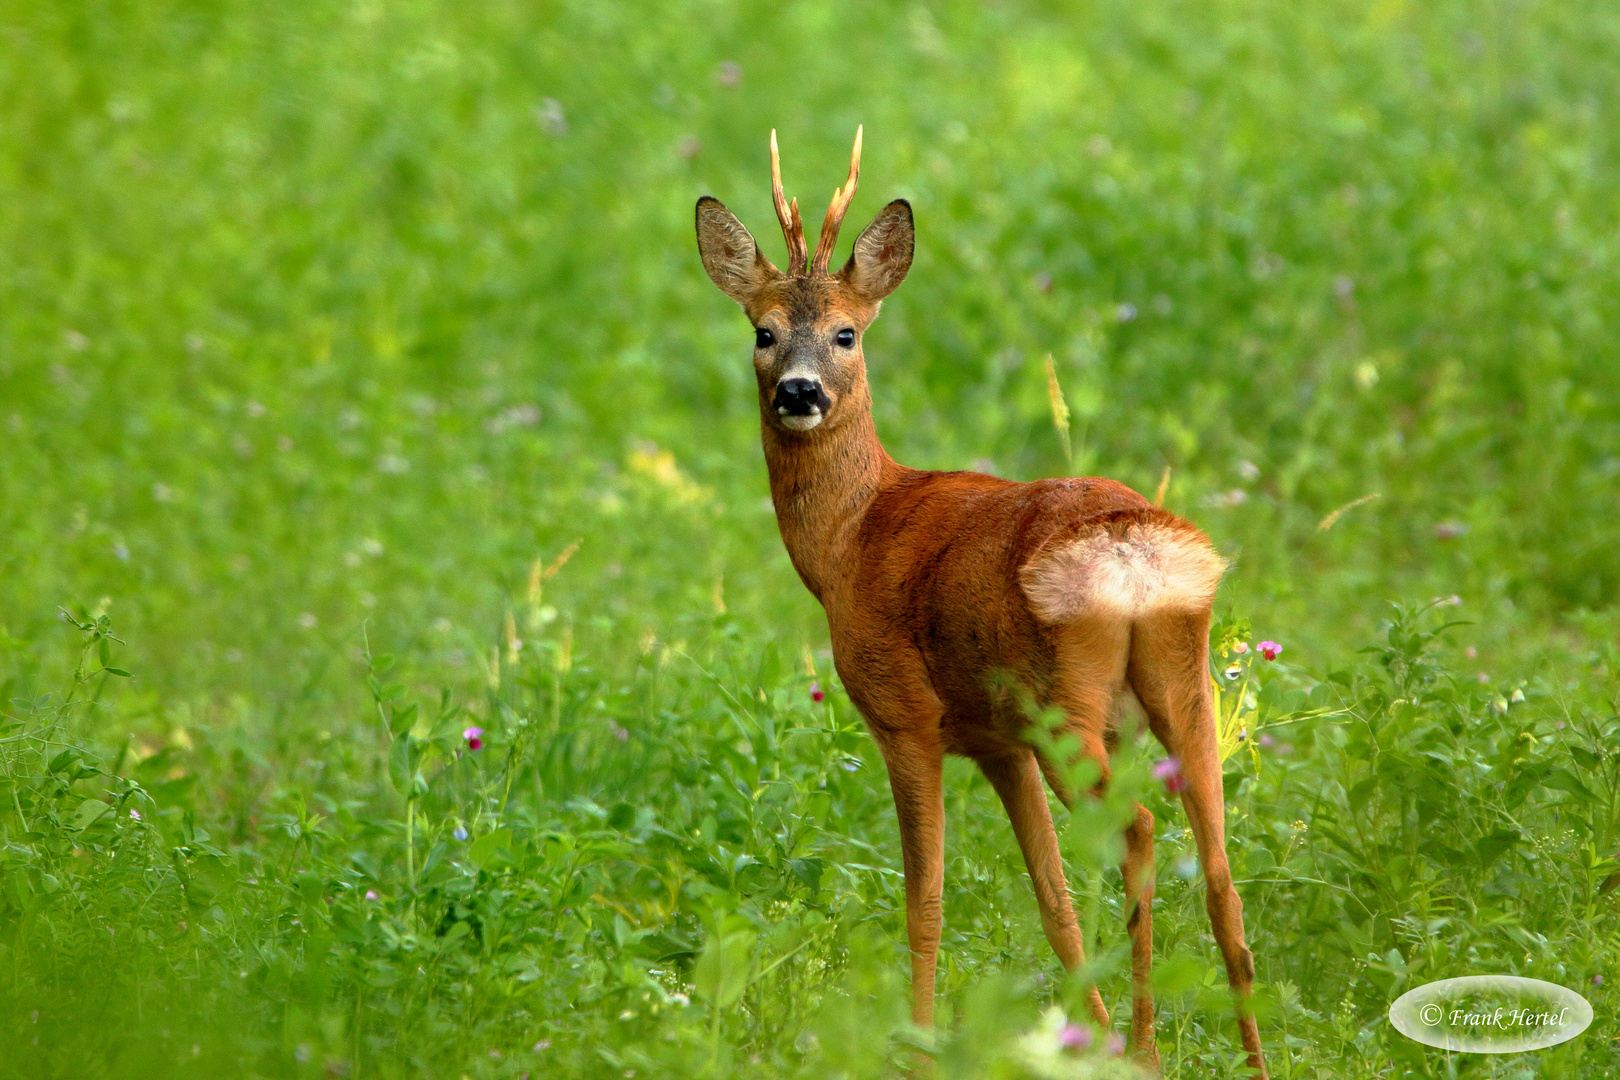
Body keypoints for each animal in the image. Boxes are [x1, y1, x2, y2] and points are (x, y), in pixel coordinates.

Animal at [690, 127, 1270, 1075]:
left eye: (847, 333)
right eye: (764, 332)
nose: (799, 392)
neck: (851, 537)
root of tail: (1131, 549)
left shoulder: (904, 712)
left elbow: (924, 899)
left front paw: (919, 1043)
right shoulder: (996, 742)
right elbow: (1054, 904)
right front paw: (1079, 1035)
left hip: (1066, 705)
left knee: (1141, 829)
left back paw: (1147, 1049)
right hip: (1183, 684)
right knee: (1220, 868)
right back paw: (1242, 1055)